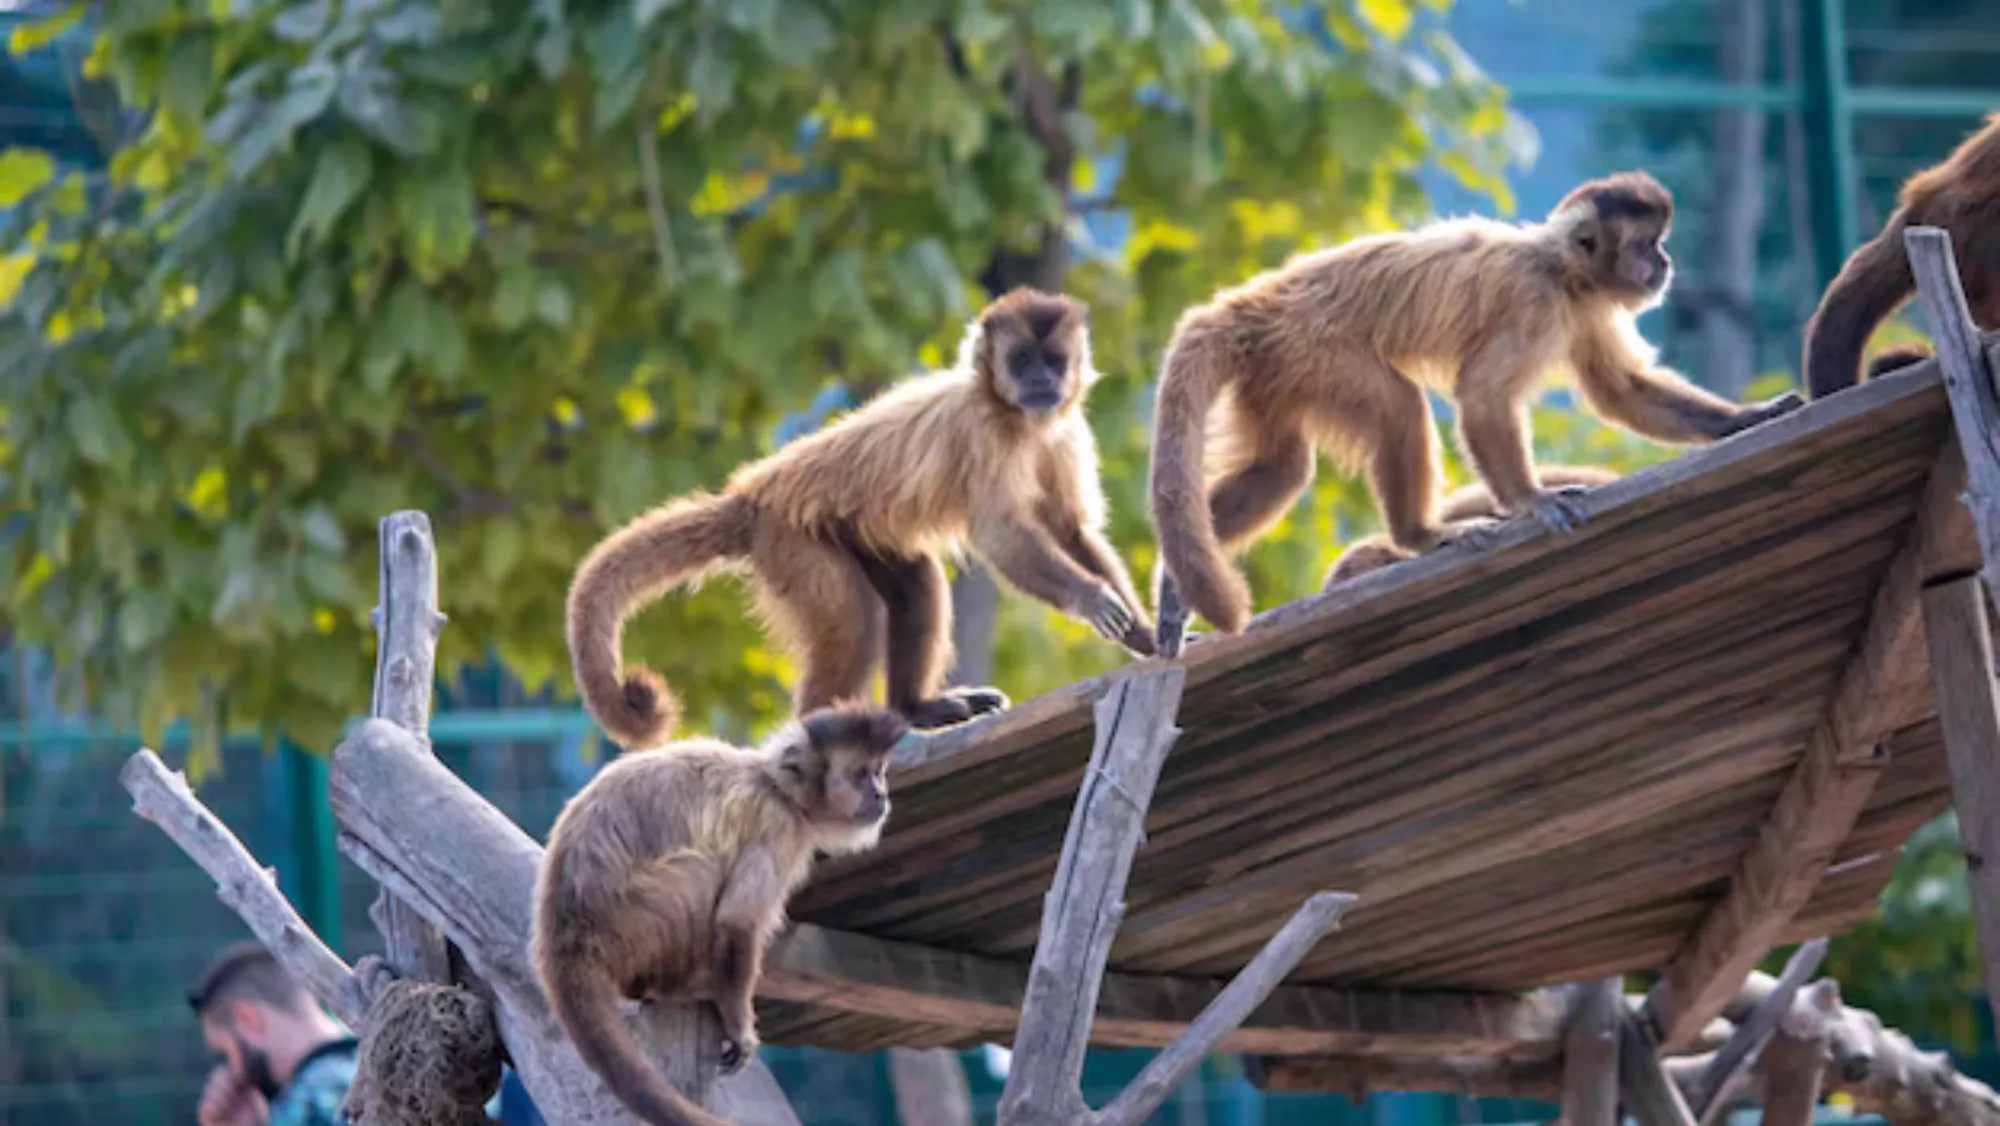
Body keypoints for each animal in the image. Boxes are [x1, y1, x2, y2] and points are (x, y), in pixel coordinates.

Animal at [531, 703, 907, 1126]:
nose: (880, 793)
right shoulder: (779, 827)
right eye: (861, 774)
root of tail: (565, 936)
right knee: (702, 870)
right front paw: (740, 1029)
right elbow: (736, 921)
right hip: (626, 925)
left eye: (878, 772)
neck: (776, 788)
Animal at [566, 288, 1155, 746]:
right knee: (855, 618)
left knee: (916, 581)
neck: (1014, 417)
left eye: (1052, 360)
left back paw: (916, 708)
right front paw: (1091, 599)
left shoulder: (1065, 429)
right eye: (1021, 360)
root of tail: (750, 498)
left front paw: (1144, 634)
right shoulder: (982, 431)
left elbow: (1071, 530)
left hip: (843, 532)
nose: (1040, 381)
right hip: (791, 541)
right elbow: (1002, 537)